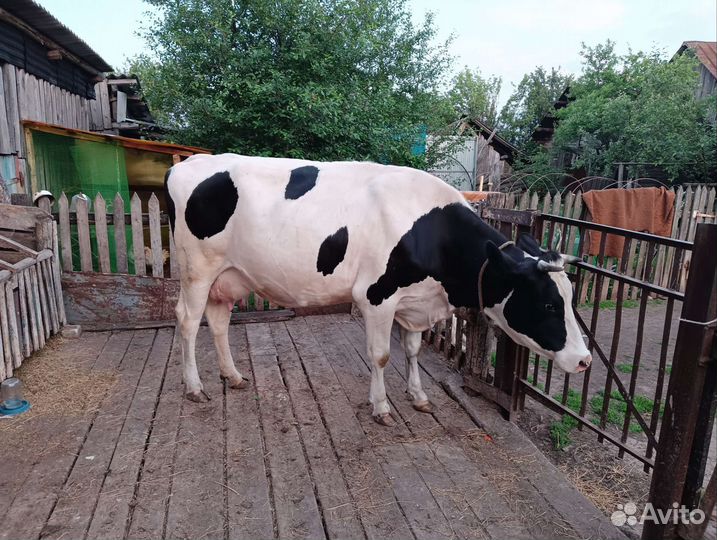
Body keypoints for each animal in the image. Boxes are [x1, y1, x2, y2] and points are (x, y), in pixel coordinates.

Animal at [165, 154, 592, 425]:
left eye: (569, 298)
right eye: (549, 304)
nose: (585, 360)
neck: (431, 233)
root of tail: (188, 162)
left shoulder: (414, 303)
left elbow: (414, 350)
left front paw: (418, 397)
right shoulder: (376, 297)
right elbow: (382, 355)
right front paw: (382, 407)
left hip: (227, 276)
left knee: (218, 321)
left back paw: (233, 376)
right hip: (197, 269)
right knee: (187, 321)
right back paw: (195, 386)